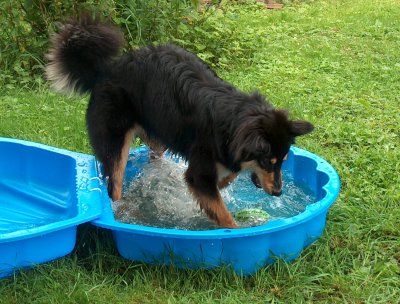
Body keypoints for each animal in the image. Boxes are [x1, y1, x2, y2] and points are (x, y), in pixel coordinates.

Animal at [45, 14, 314, 228]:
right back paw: (123, 212)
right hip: (116, 142)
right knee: (115, 185)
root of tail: (104, 71)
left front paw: (225, 181)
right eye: (268, 162)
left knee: (153, 157)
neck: (234, 118)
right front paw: (238, 232)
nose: (278, 192)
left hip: (158, 132)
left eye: (284, 161)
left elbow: (228, 176)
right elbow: (224, 214)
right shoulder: (198, 174)